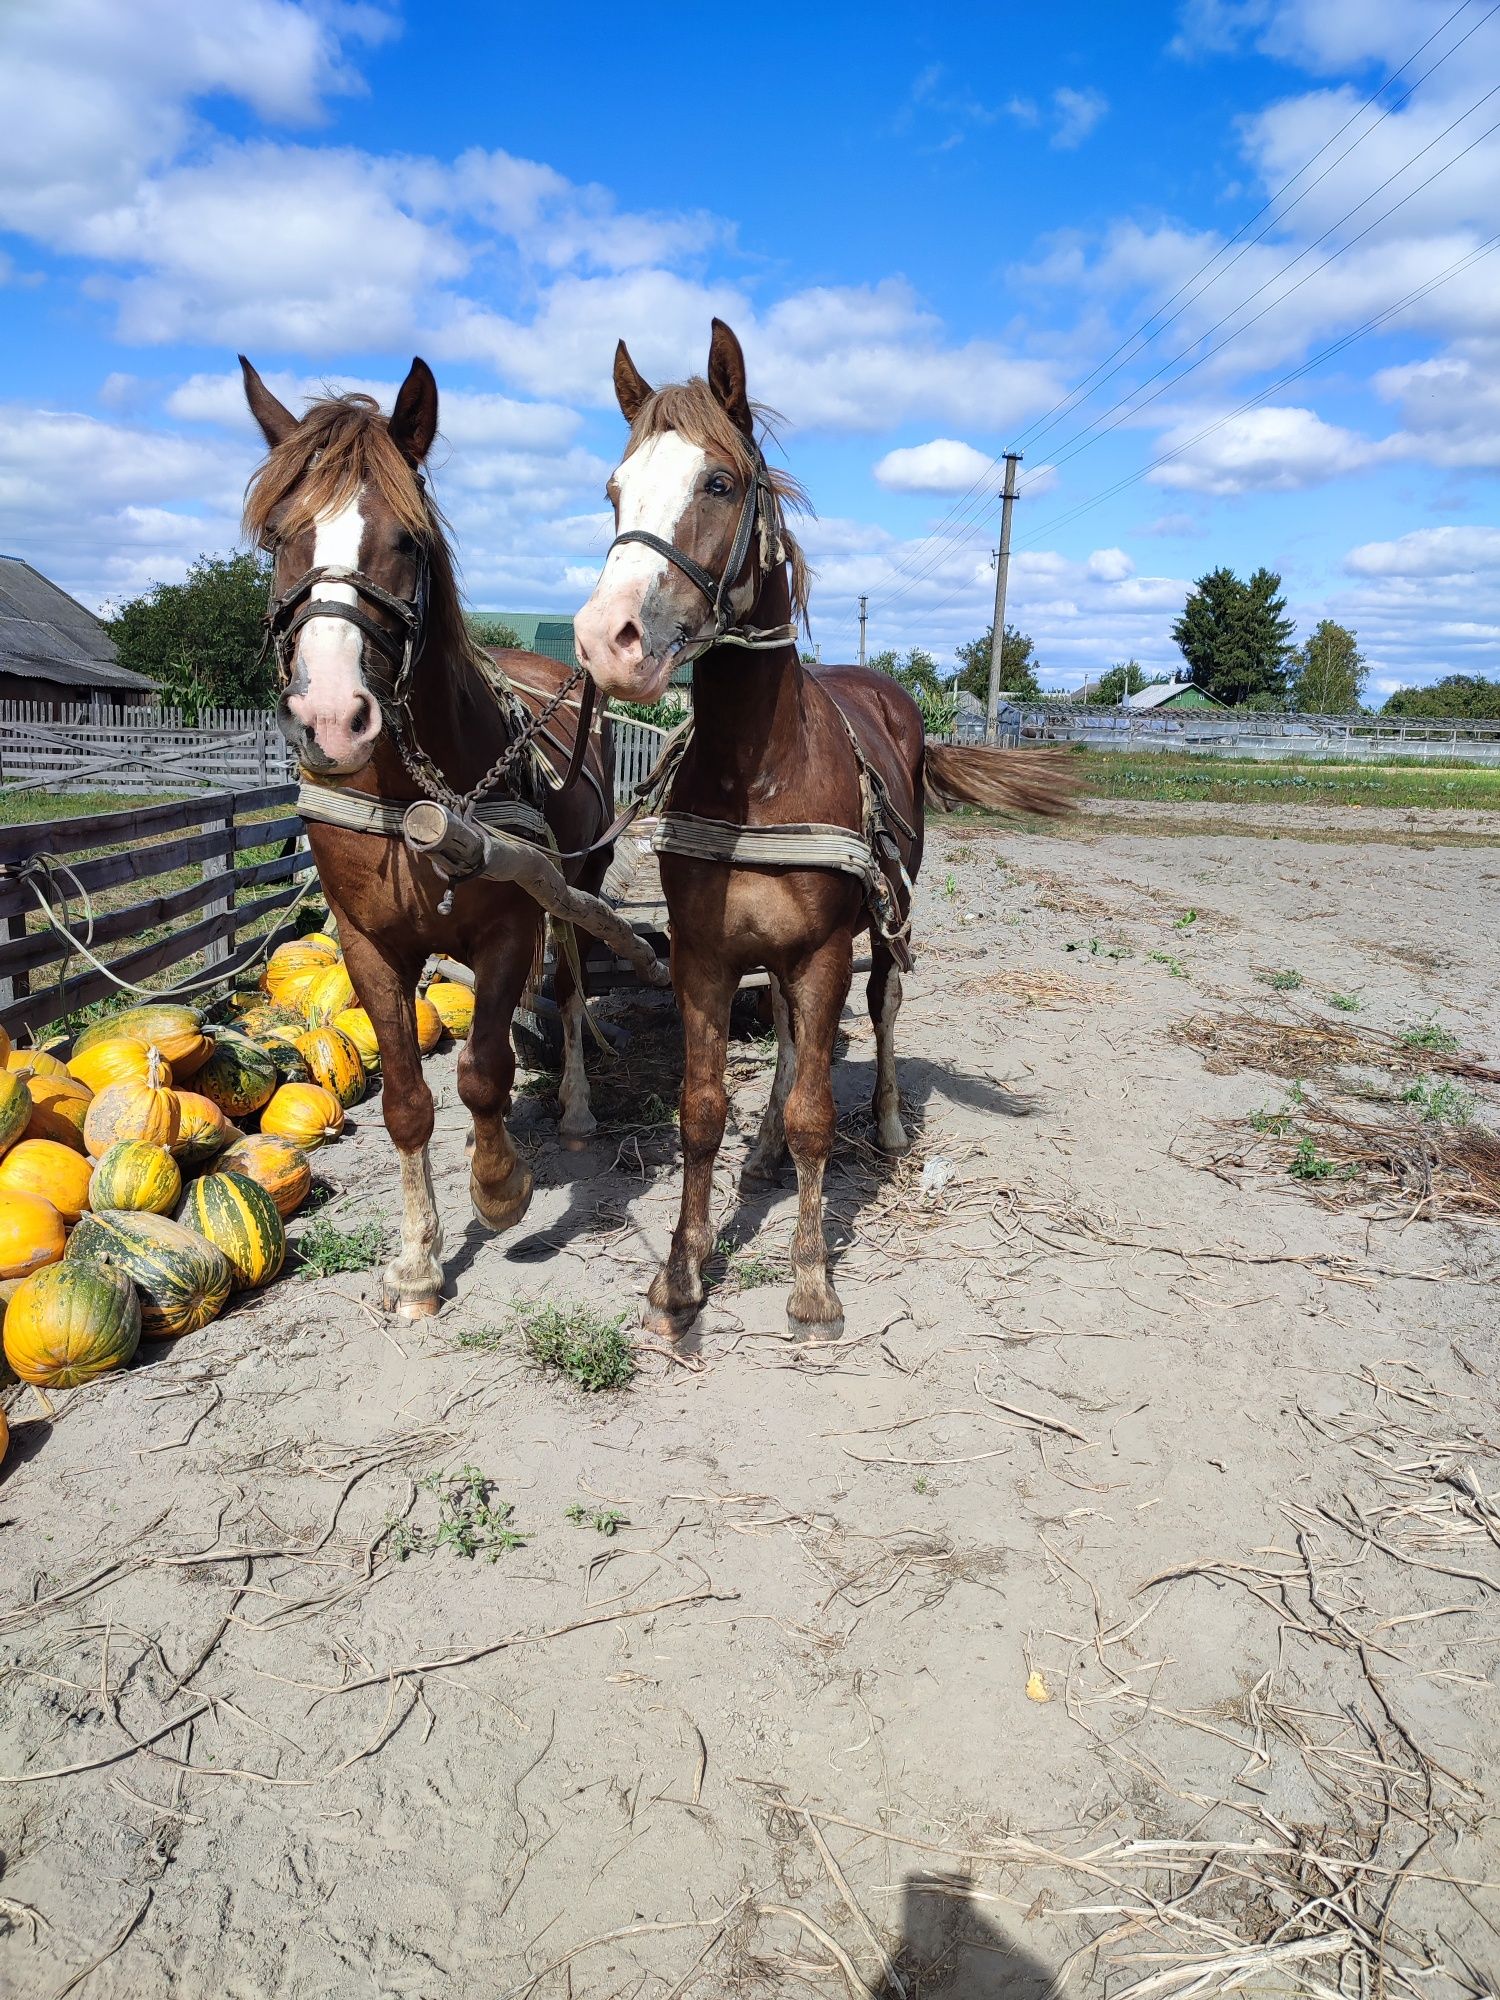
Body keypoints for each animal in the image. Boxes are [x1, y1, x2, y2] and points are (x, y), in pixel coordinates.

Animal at [244, 360, 620, 1320]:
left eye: (409, 541)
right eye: (277, 537)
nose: (331, 717)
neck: (415, 798)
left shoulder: (508, 925)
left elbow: (481, 1071)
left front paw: (500, 1186)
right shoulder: (367, 943)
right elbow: (409, 1099)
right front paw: (418, 1263)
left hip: (579, 877)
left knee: (570, 984)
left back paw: (573, 1104)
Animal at [568, 320, 1072, 1336]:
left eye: (720, 483)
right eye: (613, 489)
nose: (608, 641)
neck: (758, 771)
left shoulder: (826, 949)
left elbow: (815, 1116)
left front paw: (809, 1283)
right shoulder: (707, 955)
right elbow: (701, 1111)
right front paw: (682, 1271)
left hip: (879, 927)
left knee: (879, 1012)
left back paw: (887, 1121)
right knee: (797, 1046)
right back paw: (762, 1150)